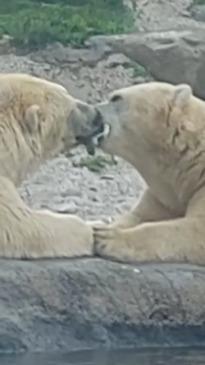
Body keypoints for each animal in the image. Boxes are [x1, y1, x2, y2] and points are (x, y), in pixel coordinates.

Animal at [89, 82, 205, 264]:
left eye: (116, 98)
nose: (92, 109)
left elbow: (196, 229)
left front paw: (107, 238)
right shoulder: (164, 193)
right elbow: (139, 215)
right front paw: (103, 227)